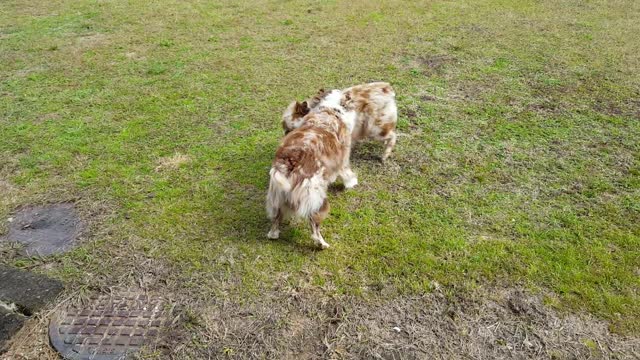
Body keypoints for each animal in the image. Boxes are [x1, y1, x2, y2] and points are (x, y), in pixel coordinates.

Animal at [264, 90, 356, 248]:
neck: (330, 110)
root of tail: (290, 162)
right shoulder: (343, 158)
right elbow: (347, 173)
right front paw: (351, 183)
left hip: (277, 196)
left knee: (276, 219)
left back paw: (274, 234)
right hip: (315, 197)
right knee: (314, 226)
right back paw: (322, 244)